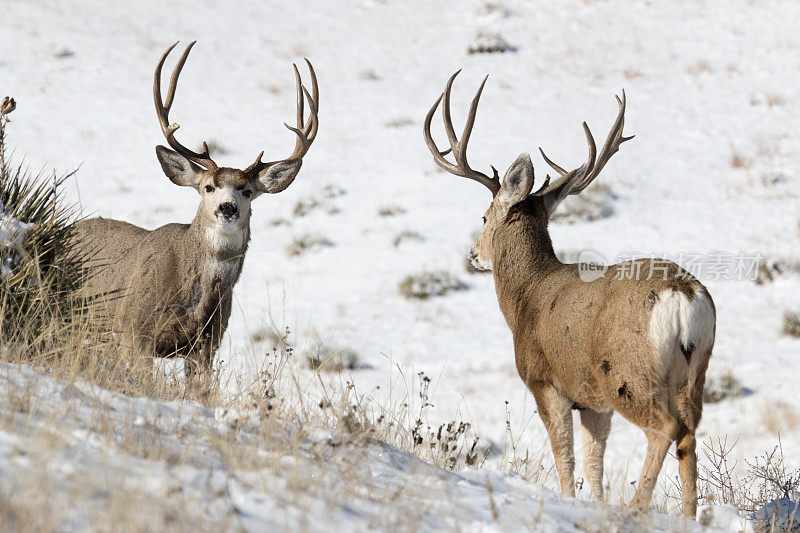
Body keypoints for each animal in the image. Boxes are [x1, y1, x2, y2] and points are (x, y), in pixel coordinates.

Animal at [422, 70, 716, 516]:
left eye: (484, 216)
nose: (473, 254)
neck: (527, 296)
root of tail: (681, 295)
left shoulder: (546, 382)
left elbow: (565, 456)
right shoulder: (593, 402)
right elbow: (594, 462)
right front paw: (596, 504)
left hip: (627, 372)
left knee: (664, 428)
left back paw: (637, 507)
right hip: (695, 373)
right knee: (689, 434)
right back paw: (688, 516)